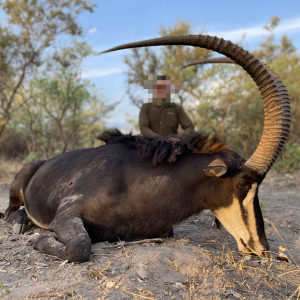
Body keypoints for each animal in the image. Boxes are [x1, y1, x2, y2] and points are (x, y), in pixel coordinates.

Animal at [4, 35, 290, 262]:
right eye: (242, 183)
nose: (262, 248)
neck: (131, 182)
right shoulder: (66, 215)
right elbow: (80, 247)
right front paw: (38, 239)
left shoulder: (162, 228)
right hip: (19, 185)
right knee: (9, 210)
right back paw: (20, 223)